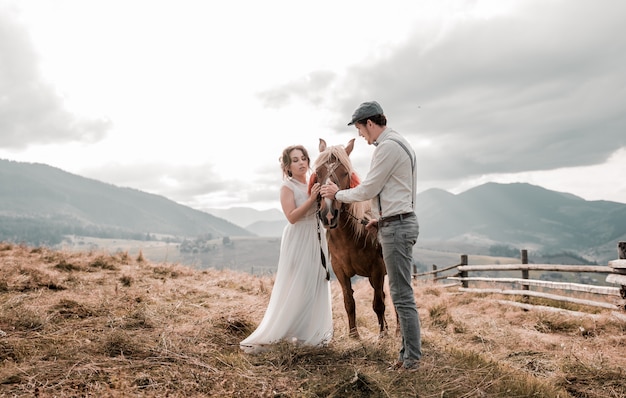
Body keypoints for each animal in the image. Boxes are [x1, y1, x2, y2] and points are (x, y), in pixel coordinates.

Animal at [310, 138, 388, 338]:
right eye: (318, 172)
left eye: (345, 172)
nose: (329, 215)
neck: (349, 238)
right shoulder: (340, 271)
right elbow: (349, 302)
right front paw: (354, 335)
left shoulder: (377, 270)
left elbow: (378, 304)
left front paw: (382, 335)